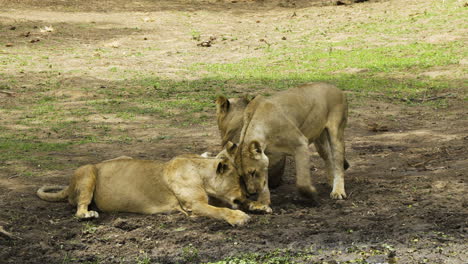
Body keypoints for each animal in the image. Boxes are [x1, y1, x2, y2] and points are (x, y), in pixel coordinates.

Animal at [36, 152, 250, 226]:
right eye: (239, 180)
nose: (247, 195)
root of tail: (68, 185)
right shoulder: (194, 205)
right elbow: (221, 210)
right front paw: (239, 217)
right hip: (88, 170)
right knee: (80, 208)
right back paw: (89, 214)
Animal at [218, 83, 348, 211]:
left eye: (253, 172)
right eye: (241, 175)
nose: (251, 193)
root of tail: (335, 87)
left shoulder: (301, 143)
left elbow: (302, 182)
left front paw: (311, 194)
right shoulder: (266, 157)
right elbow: (264, 184)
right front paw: (262, 203)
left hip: (336, 132)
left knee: (338, 162)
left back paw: (338, 191)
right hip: (320, 139)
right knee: (329, 157)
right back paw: (331, 182)